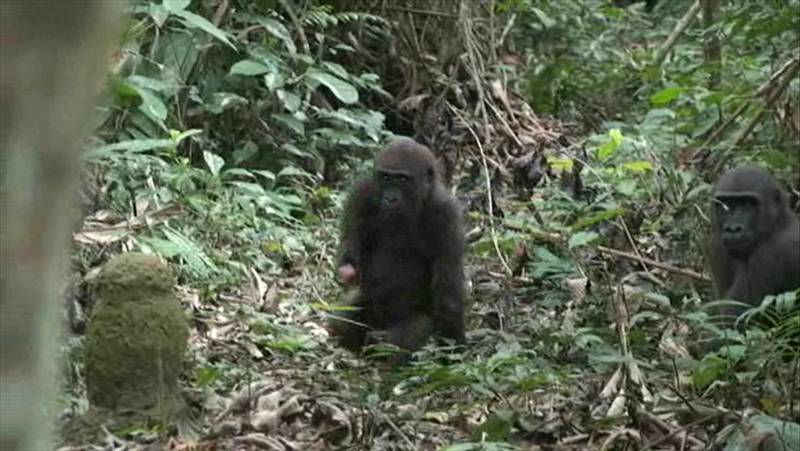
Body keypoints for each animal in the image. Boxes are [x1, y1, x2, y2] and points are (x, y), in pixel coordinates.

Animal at [332, 138, 468, 356]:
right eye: (386, 177)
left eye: (403, 179)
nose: (390, 198)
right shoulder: (362, 193)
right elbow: (350, 238)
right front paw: (348, 269)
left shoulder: (446, 213)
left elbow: (449, 290)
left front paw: (453, 348)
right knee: (345, 316)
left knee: (414, 328)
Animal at [708, 165, 796, 314]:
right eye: (726, 204)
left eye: (747, 204)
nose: (733, 229)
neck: (777, 224)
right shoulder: (716, 245)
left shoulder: (771, 254)